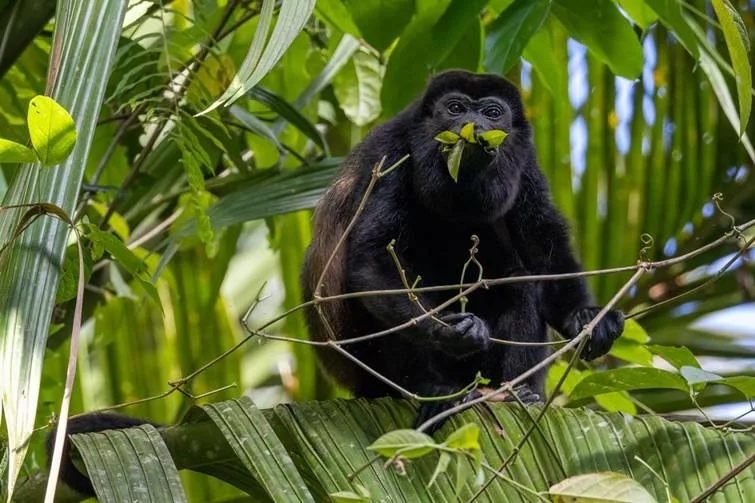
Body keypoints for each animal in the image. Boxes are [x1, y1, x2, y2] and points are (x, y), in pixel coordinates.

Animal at [301, 70, 625, 429]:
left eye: (492, 113)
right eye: (455, 108)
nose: (473, 124)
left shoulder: (525, 161)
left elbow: (543, 247)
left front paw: (584, 318)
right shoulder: (391, 154)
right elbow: (373, 257)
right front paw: (448, 330)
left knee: (520, 283)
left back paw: (518, 393)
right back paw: (435, 391)